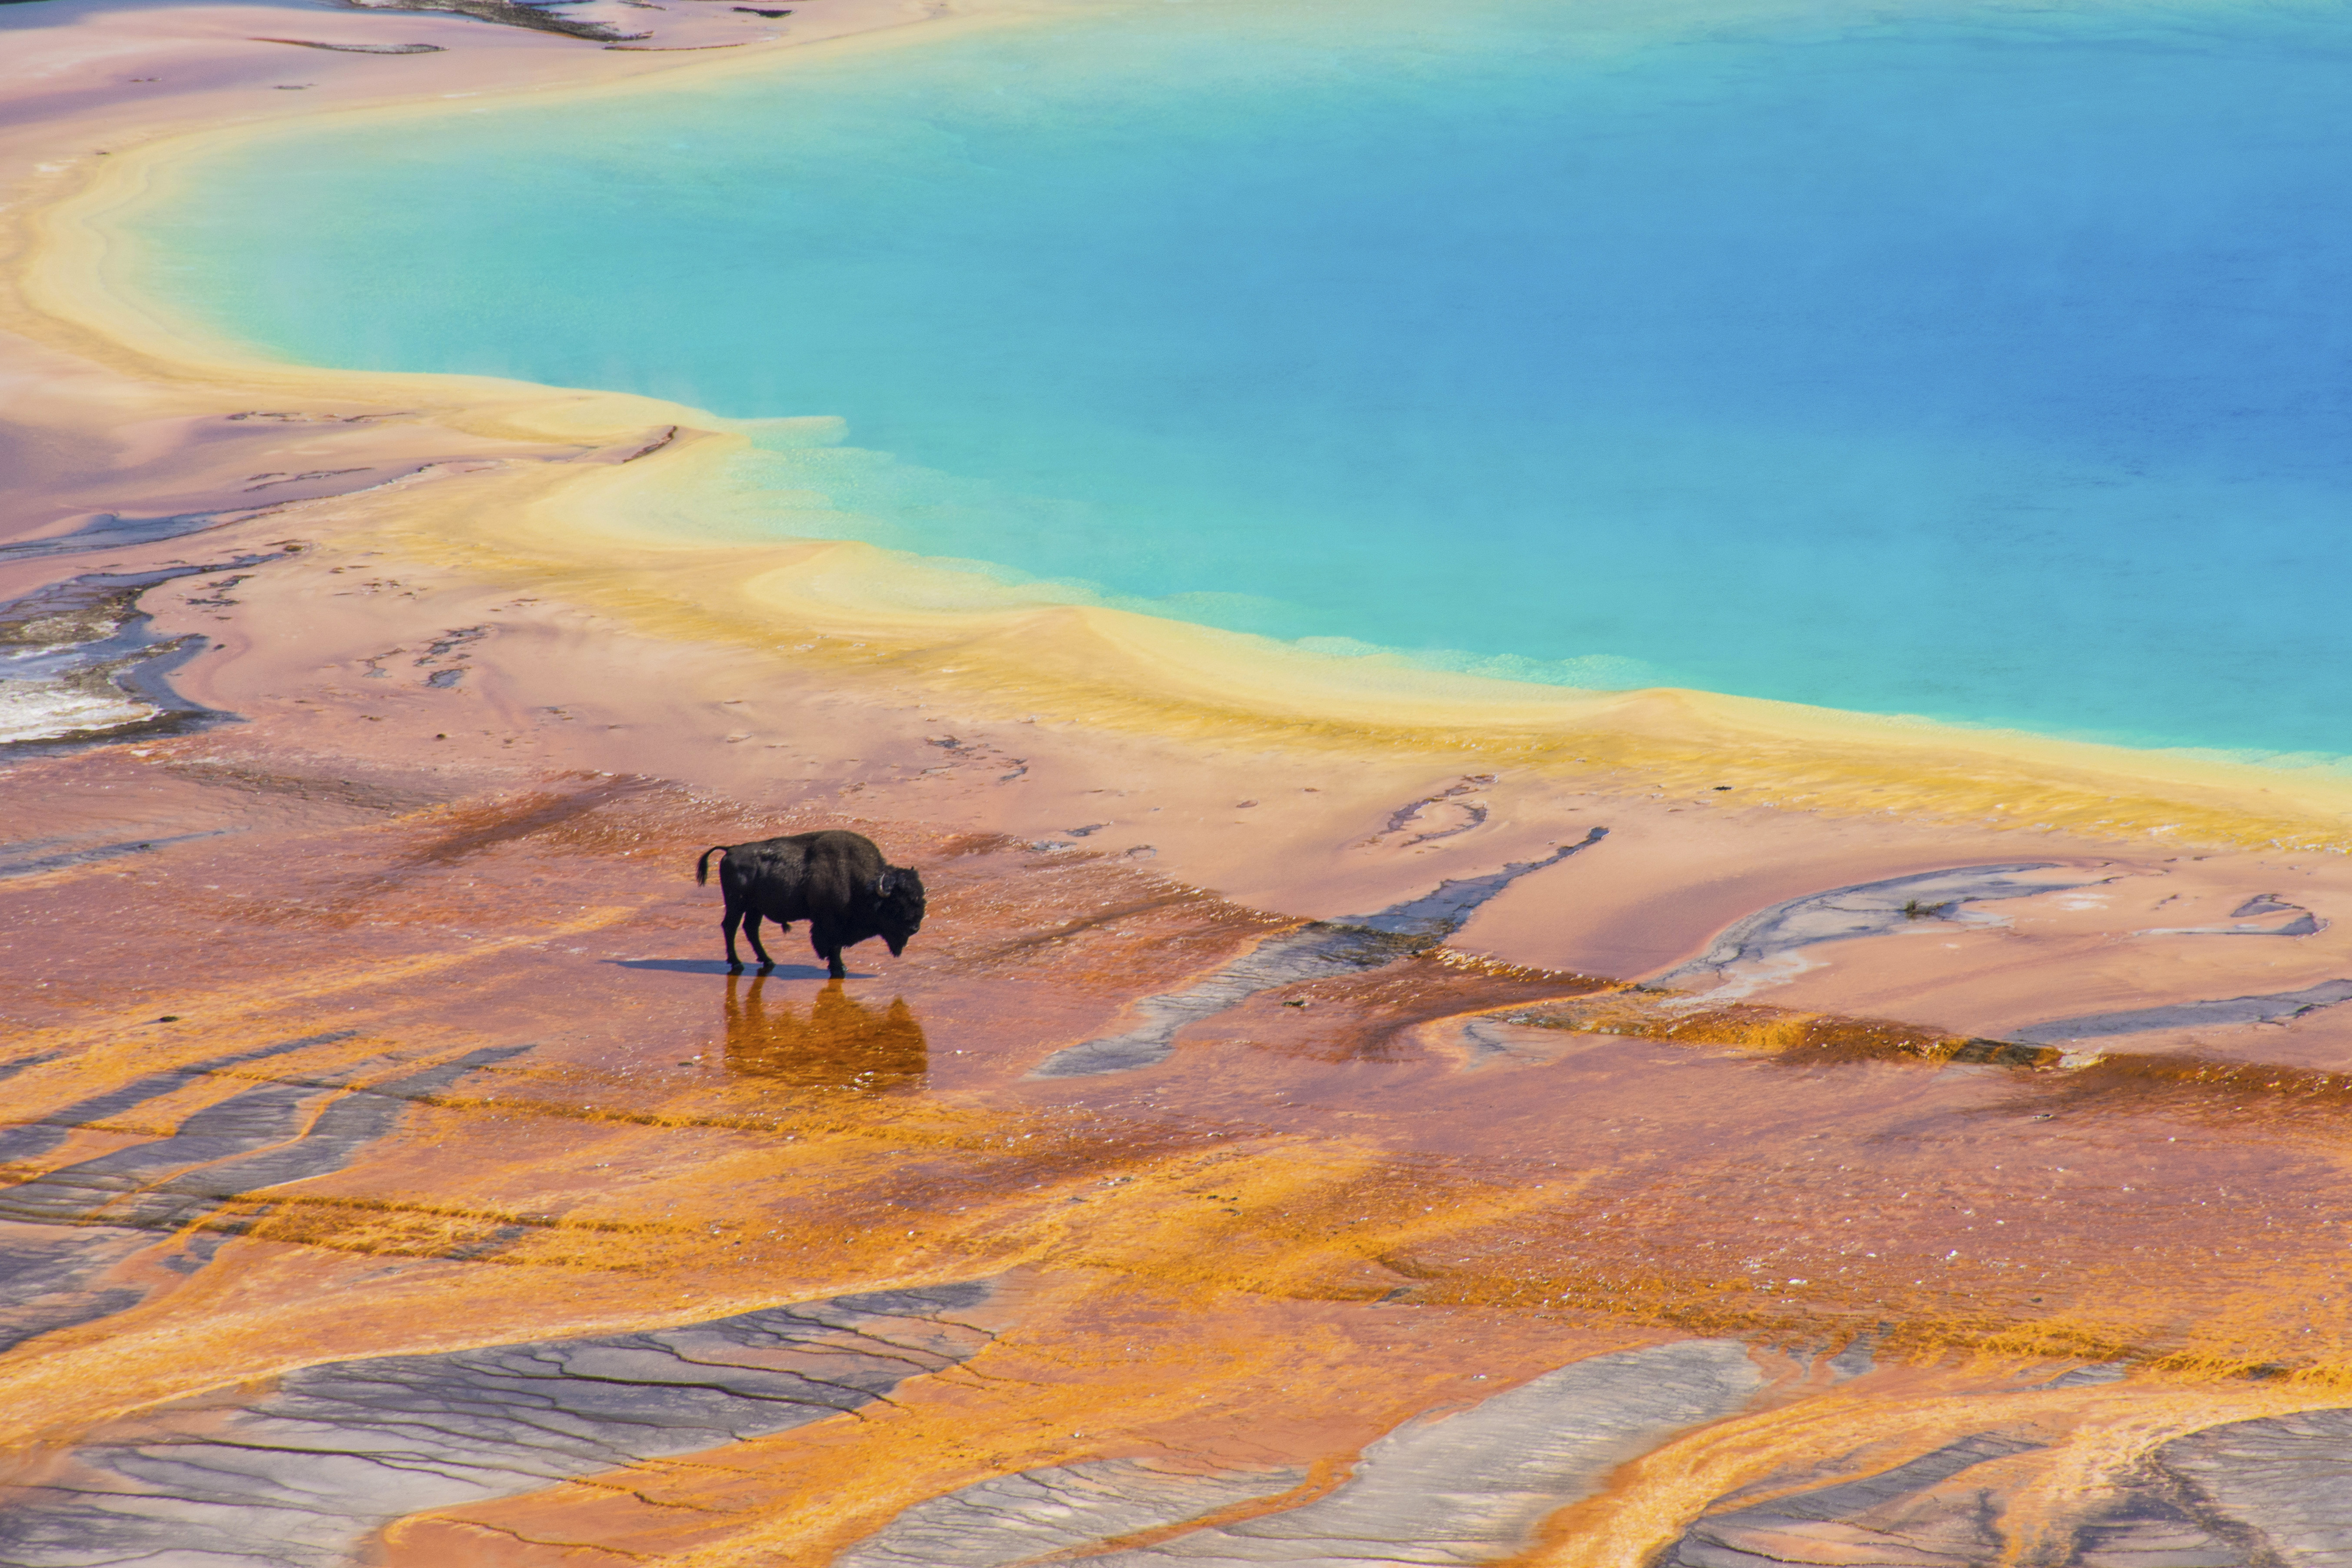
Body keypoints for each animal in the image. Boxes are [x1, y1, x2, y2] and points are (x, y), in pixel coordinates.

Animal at [691, 827, 922, 973]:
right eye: (896, 904)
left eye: (920, 900)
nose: (915, 928)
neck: (860, 881)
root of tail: (730, 850)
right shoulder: (829, 923)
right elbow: (833, 945)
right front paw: (839, 967)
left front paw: (839, 966)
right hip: (736, 904)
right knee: (730, 927)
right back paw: (737, 963)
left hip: (755, 908)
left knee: (750, 929)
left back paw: (768, 961)